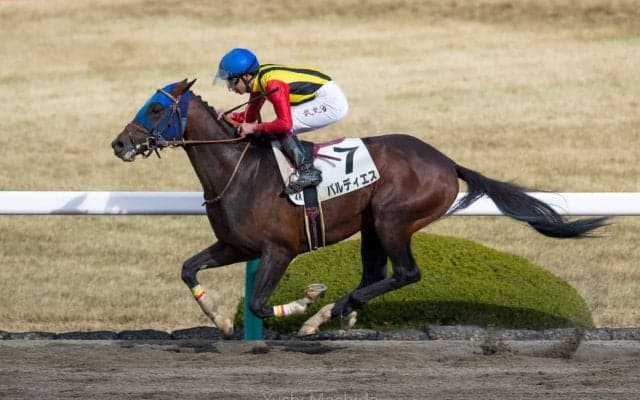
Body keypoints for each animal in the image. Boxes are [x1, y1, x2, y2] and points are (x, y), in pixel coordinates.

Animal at [111, 79, 607, 337]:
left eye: (155, 109)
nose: (119, 144)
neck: (239, 170)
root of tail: (446, 162)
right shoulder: (236, 246)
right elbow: (188, 269)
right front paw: (218, 319)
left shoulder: (278, 251)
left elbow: (258, 303)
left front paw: (304, 303)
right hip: (371, 224)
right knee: (375, 274)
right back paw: (336, 312)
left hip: (393, 218)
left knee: (405, 273)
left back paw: (328, 313)